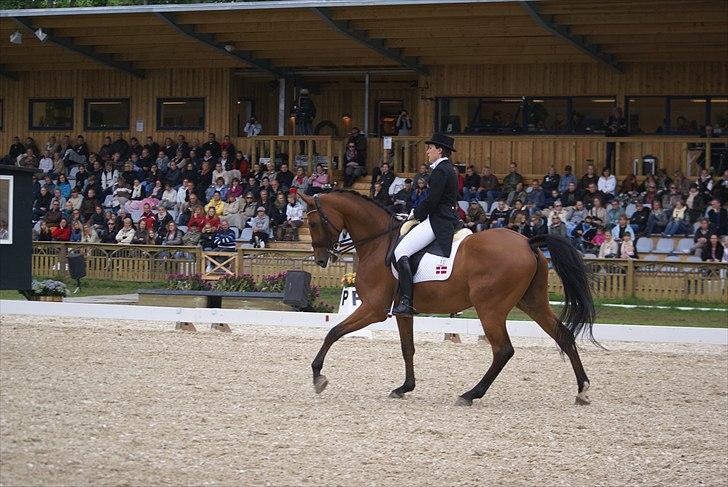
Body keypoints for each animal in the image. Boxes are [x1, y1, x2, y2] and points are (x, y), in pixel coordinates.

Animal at [298, 191, 596, 408]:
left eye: (313, 223)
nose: (322, 260)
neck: (378, 242)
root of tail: (527, 241)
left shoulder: (374, 308)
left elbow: (334, 332)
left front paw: (318, 376)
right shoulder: (403, 311)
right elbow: (407, 348)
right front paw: (405, 388)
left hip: (490, 308)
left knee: (503, 350)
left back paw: (470, 394)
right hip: (531, 302)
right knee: (563, 335)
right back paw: (582, 391)